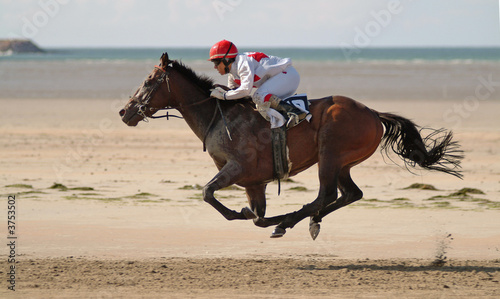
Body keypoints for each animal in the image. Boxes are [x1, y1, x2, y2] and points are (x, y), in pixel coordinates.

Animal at [119, 52, 462, 240]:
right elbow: (256, 215)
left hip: (330, 154)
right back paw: (309, 221)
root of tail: (373, 113)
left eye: (148, 80)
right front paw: (255, 215)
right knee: (351, 194)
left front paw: (254, 216)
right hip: (343, 162)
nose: (124, 111)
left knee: (326, 195)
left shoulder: (236, 168)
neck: (219, 117)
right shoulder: (254, 182)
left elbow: (209, 194)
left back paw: (291, 221)